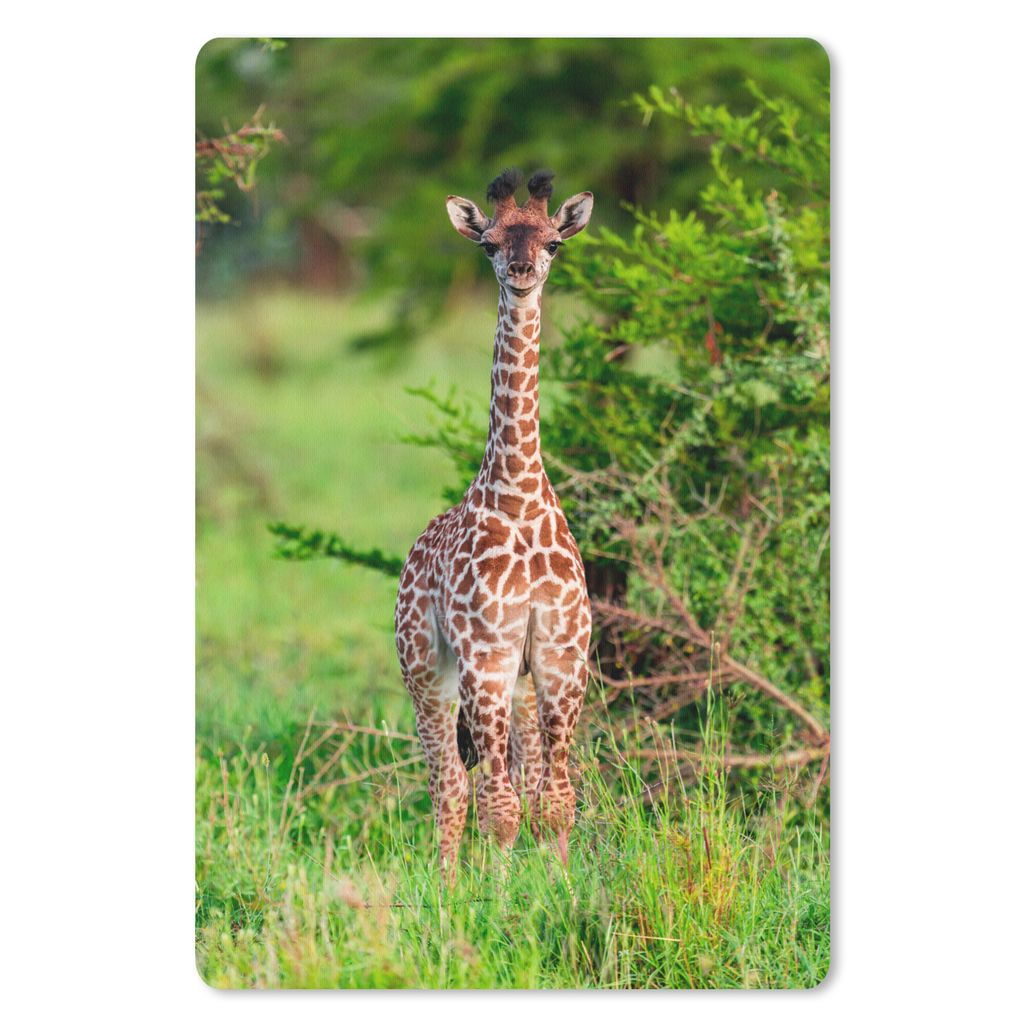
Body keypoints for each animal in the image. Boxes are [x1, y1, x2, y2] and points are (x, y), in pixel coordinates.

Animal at [394, 169, 594, 883]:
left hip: (520, 685)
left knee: (520, 776)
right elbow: (499, 809)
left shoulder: (561, 658)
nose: (523, 270)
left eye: (554, 242)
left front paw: (561, 888)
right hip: (426, 670)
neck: (520, 496)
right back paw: (450, 888)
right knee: (451, 784)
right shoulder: (485, 657)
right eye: (488, 243)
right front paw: (501, 897)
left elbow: (554, 802)